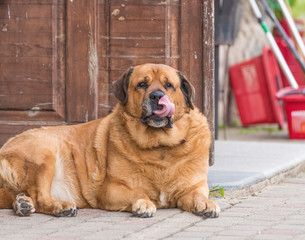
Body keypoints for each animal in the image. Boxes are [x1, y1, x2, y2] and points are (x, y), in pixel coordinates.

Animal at [0, 63, 218, 218]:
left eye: (169, 85)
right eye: (142, 84)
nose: (157, 96)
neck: (160, 145)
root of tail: (4, 150)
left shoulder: (194, 187)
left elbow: (199, 194)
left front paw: (207, 203)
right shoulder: (111, 189)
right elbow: (138, 193)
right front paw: (144, 203)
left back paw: (22, 203)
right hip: (44, 154)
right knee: (41, 197)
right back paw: (59, 206)